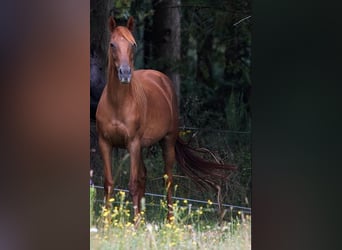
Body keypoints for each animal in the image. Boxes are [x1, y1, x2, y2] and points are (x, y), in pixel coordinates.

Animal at [95, 16, 236, 222]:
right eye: (112, 44)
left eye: (133, 44)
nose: (125, 73)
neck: (118, 104)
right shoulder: (105, 143)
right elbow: (108, 184)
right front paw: (107, 223)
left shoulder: (133, 143)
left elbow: (132, 184)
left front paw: (135, 224)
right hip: (141, 147)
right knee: (144, 176)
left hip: (166, 142)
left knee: (168, 179)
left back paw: (169, 221)